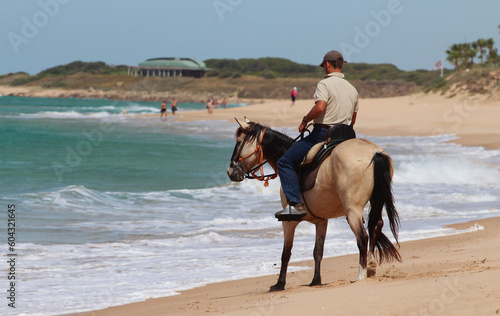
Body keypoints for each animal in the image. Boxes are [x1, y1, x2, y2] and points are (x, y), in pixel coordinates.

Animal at [228, 118, 402, 292]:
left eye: (239, 141)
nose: (230, 171)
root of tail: (375, 153)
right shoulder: (321, 221)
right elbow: (318, 251)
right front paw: (316, 280)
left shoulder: (288, 221)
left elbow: (286, 253)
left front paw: (280, 283)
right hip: (376, 200)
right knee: (375, 226)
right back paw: (371, 266)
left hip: (353, 210)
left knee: (362, 237)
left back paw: (361, 275)